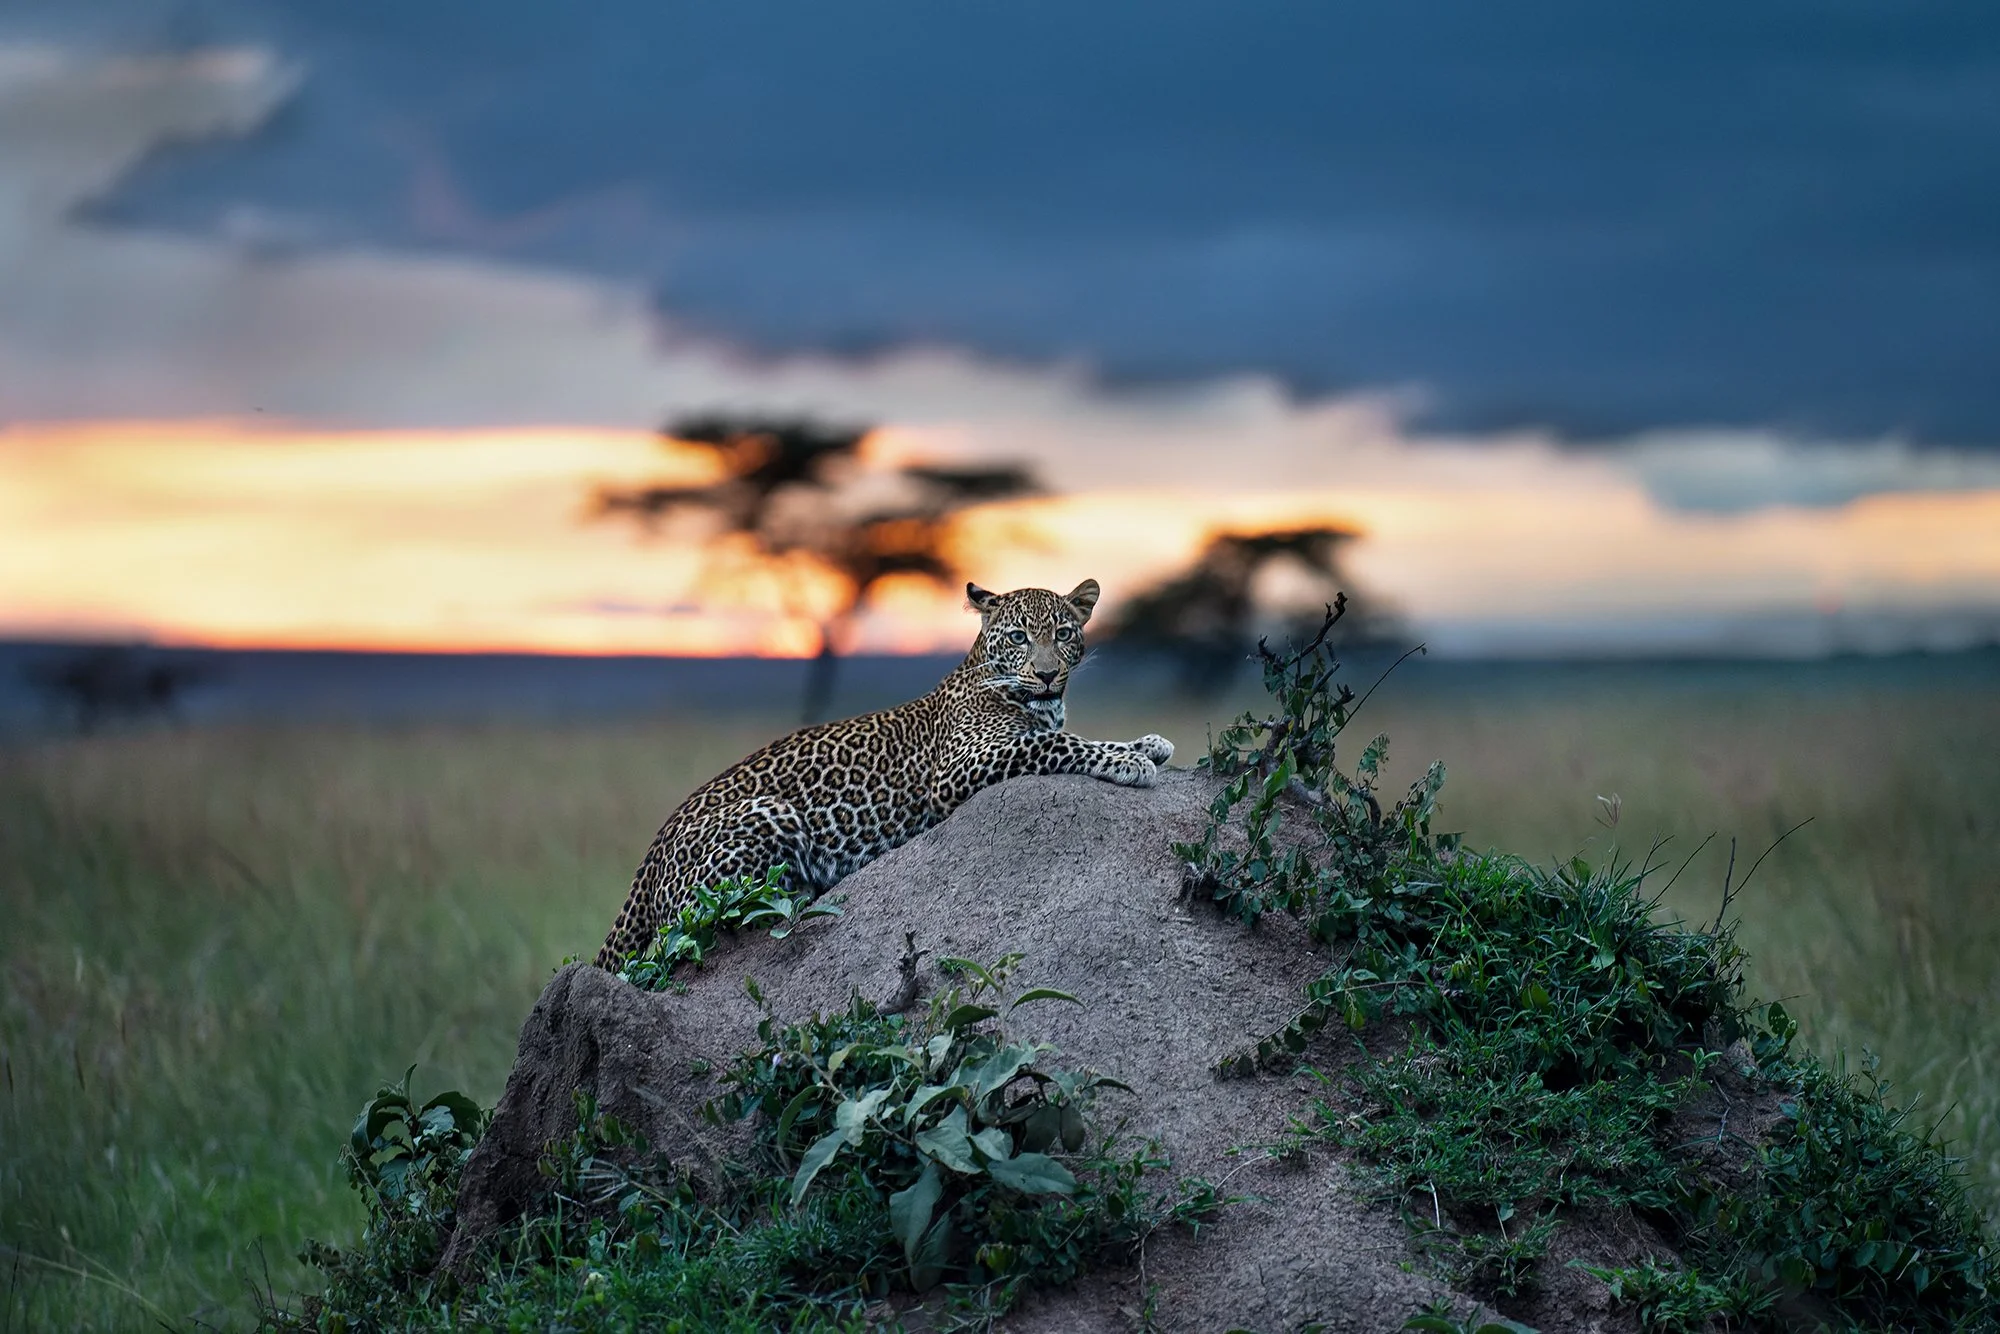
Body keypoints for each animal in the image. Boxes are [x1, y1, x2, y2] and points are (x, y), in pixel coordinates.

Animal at [594, 578, 1174, 969]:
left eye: (1063, 632)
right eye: (1017, 637)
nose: (1049, 674)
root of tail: (651, 852)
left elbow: (1067, 737)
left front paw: (1149, 743)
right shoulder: (963, 766)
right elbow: (1053, 743)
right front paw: (1130, 760)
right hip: (769, 814)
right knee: (700, 920)